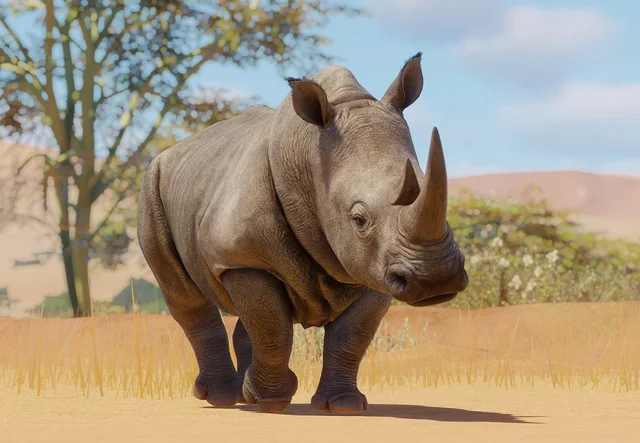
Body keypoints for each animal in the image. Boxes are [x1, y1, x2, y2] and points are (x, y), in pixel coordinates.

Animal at [137, 52, 469, 415]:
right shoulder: (241, 257)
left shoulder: (374, 266)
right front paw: (271, 401)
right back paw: (222, 399)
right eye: (359, 219)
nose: (435, 281)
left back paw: (243, 396)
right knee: (185, 296)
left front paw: (343, 406)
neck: (309, 161)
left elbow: (351, 337)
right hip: (152, 187)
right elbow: (273, 329)